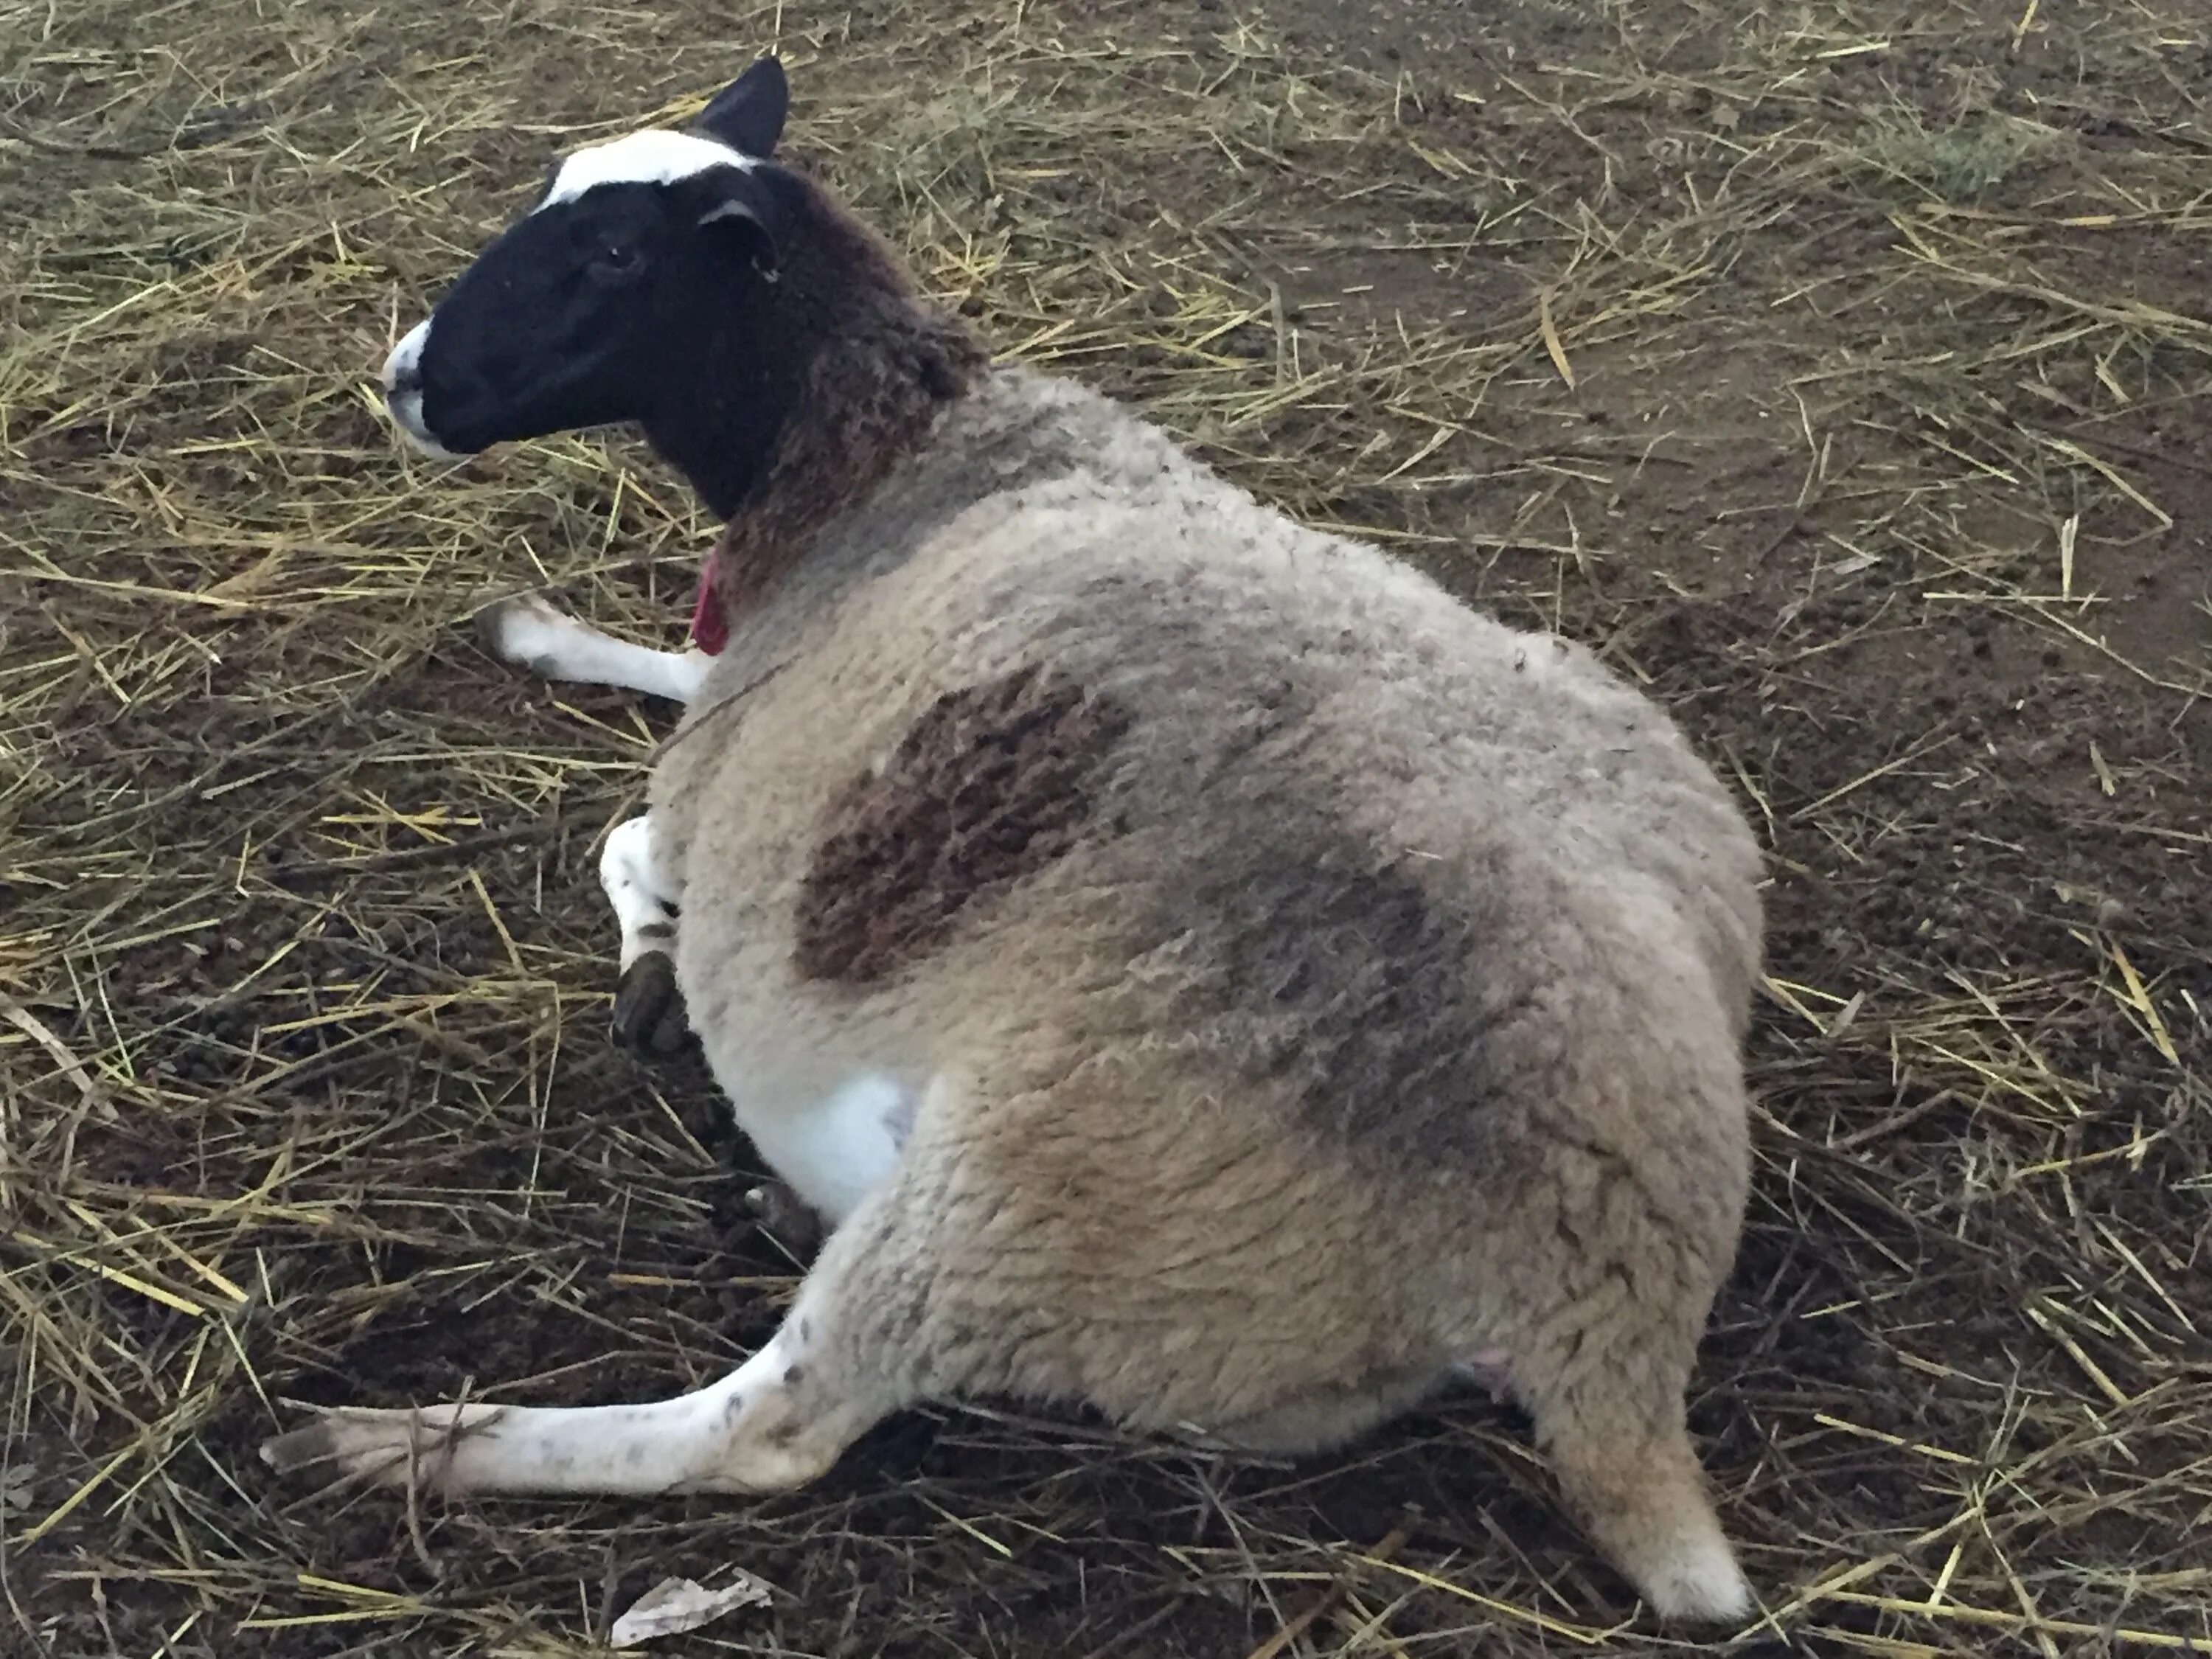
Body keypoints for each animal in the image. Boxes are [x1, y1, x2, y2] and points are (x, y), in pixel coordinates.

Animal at [268, 58, 1770, 1628]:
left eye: (616, 251)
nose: (407, 378)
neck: (885, 465)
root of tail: (1600, 1305)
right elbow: (655, 683)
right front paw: (550, 635)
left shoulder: (711, 780)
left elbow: (623, 843)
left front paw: (652, 976)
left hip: (1017, 1217)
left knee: (766, 1430)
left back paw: (402, 1440)